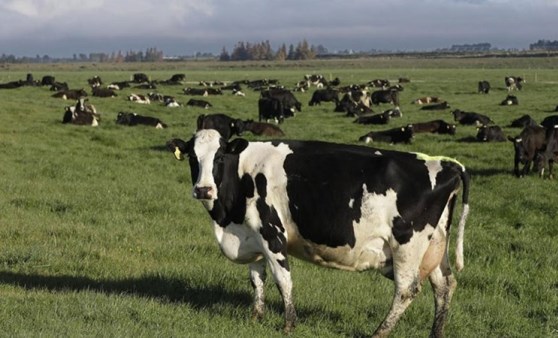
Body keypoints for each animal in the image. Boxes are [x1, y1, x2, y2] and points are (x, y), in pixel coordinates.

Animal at [167, 128, 472, 336]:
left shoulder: (272, 233)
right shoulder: (252, 235)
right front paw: (256, 317)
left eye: (219, 156)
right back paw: (436, 333)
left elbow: (283, 280)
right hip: (434, 246)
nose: (203, 189)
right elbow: (257, 279)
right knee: (444, 286)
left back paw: (379, 332)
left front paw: (289, 324)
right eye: (192, 157)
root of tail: (446, 163)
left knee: (407, 289)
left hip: (407, 245)